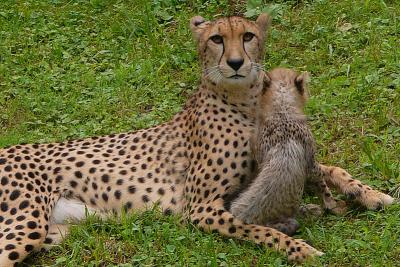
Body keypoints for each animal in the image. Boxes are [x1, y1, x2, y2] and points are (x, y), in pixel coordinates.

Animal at [0, 13, 394, 266]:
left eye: (248, 36)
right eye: (216, 39)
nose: (235, 63)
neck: (244, 101)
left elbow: (332, 168)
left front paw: (371, 194)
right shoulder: (201, 209)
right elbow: (255, 228)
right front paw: (300, 248)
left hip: (61, 228)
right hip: (25, 224)